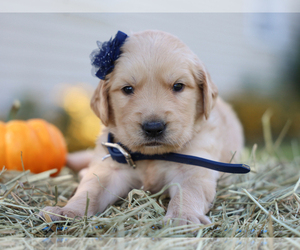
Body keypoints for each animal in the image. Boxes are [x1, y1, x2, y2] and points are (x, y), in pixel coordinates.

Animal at [40, 29, 244, 225]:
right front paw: (66, 211)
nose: (153, 128)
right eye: (128, 89)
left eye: (178, 86)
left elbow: (188, 193)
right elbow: (89, 191)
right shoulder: (110, 170)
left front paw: (185, 216)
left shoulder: (194, 169)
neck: (152, 156)